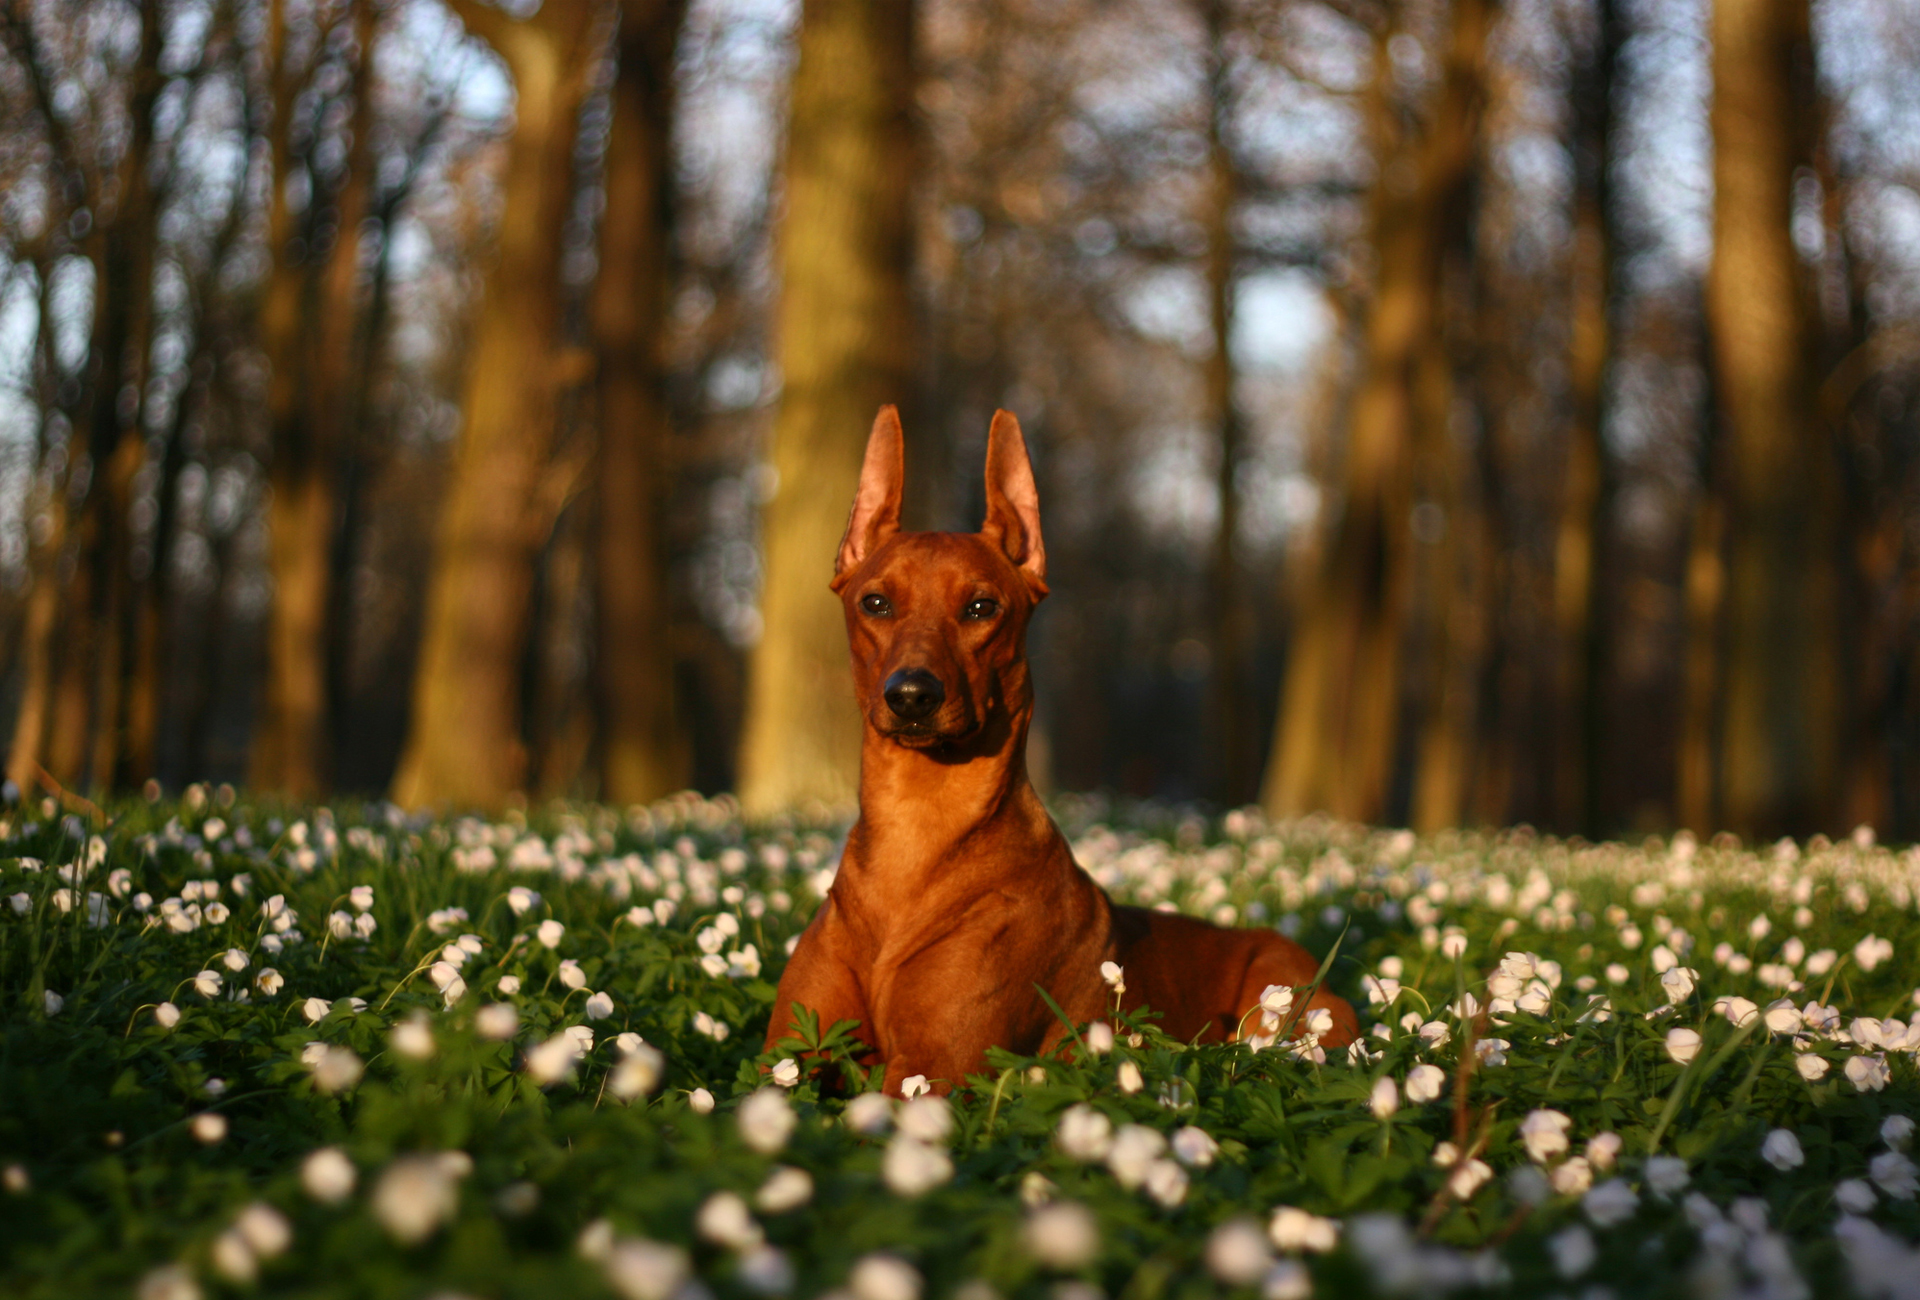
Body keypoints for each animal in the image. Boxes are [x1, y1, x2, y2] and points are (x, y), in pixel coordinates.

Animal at [756, 409, 1359, 1098]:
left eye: (982, 607)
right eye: (874, 603)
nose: (911, 694)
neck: (915, 828)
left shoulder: (932, 1069)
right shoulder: (786, 1056)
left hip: (1279, 1014)